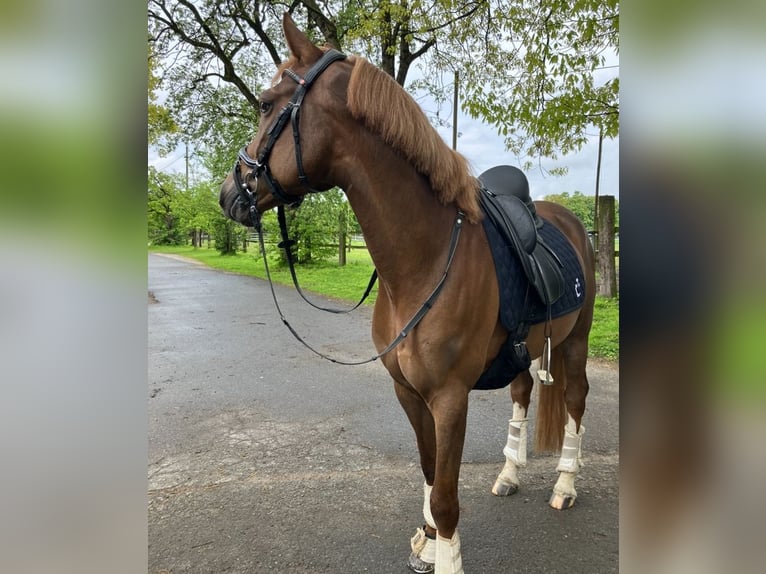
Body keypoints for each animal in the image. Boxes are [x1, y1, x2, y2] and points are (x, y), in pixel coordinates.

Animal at [219, 14, 596, 574]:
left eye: (266, 104)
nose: (229, 193)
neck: (425, 260)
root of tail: (571, 221)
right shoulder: (408, 393)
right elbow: (427, 469)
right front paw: (431, 541)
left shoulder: (450, 399)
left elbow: (446, 493)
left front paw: (447, 556)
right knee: (523, 392)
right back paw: (508, 474)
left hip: (575, 342)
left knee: (574, 400)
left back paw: (566, 484)